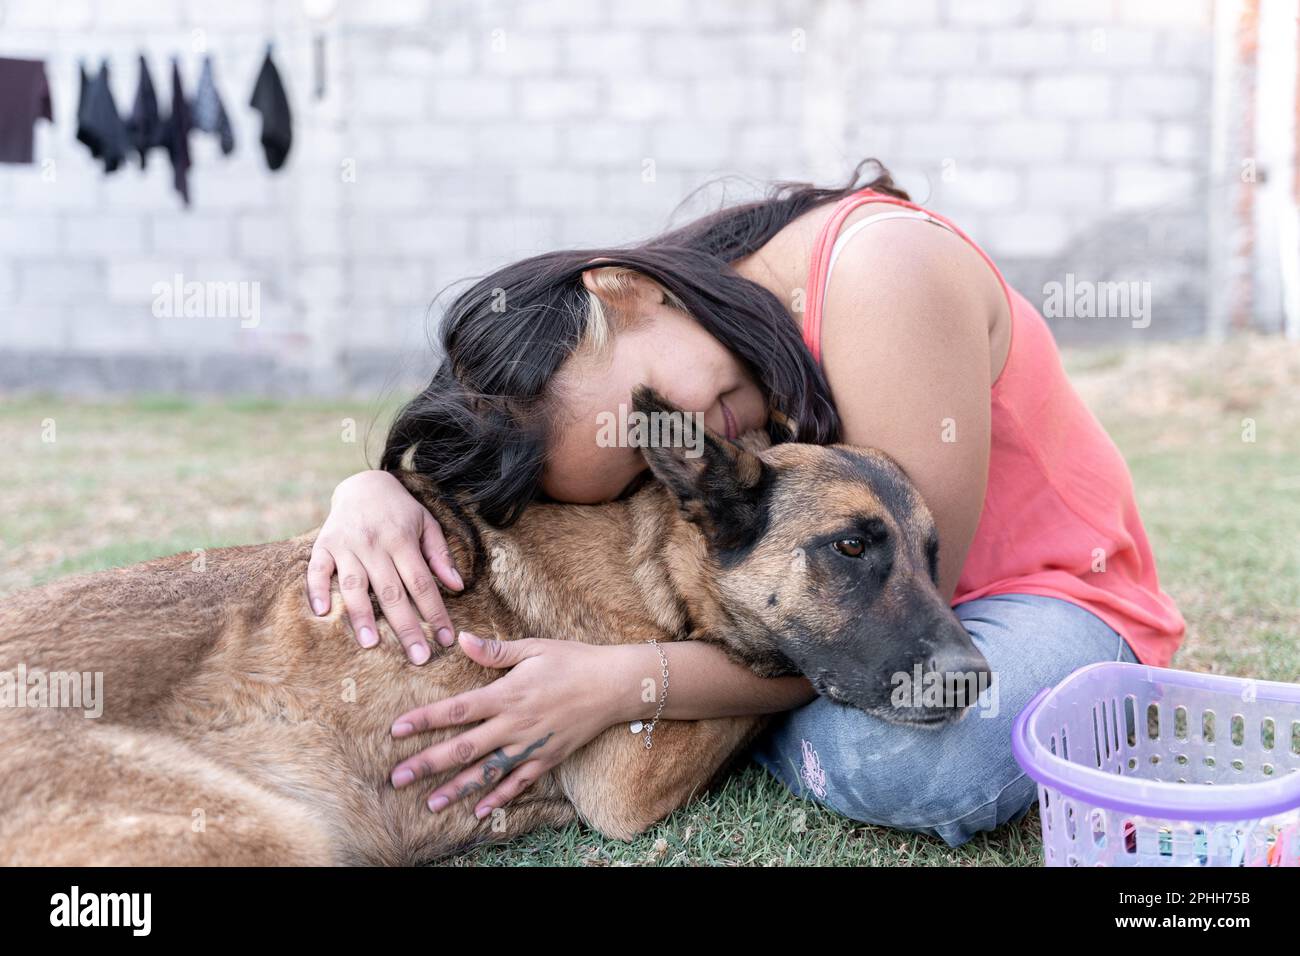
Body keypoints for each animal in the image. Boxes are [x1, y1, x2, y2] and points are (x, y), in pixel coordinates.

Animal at [0, 385, 982, 863]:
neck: (656, 566)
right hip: (261, 833)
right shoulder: (629, 778)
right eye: (850, 547)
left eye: (933, 553)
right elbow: (762, 685)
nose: (977, 677)